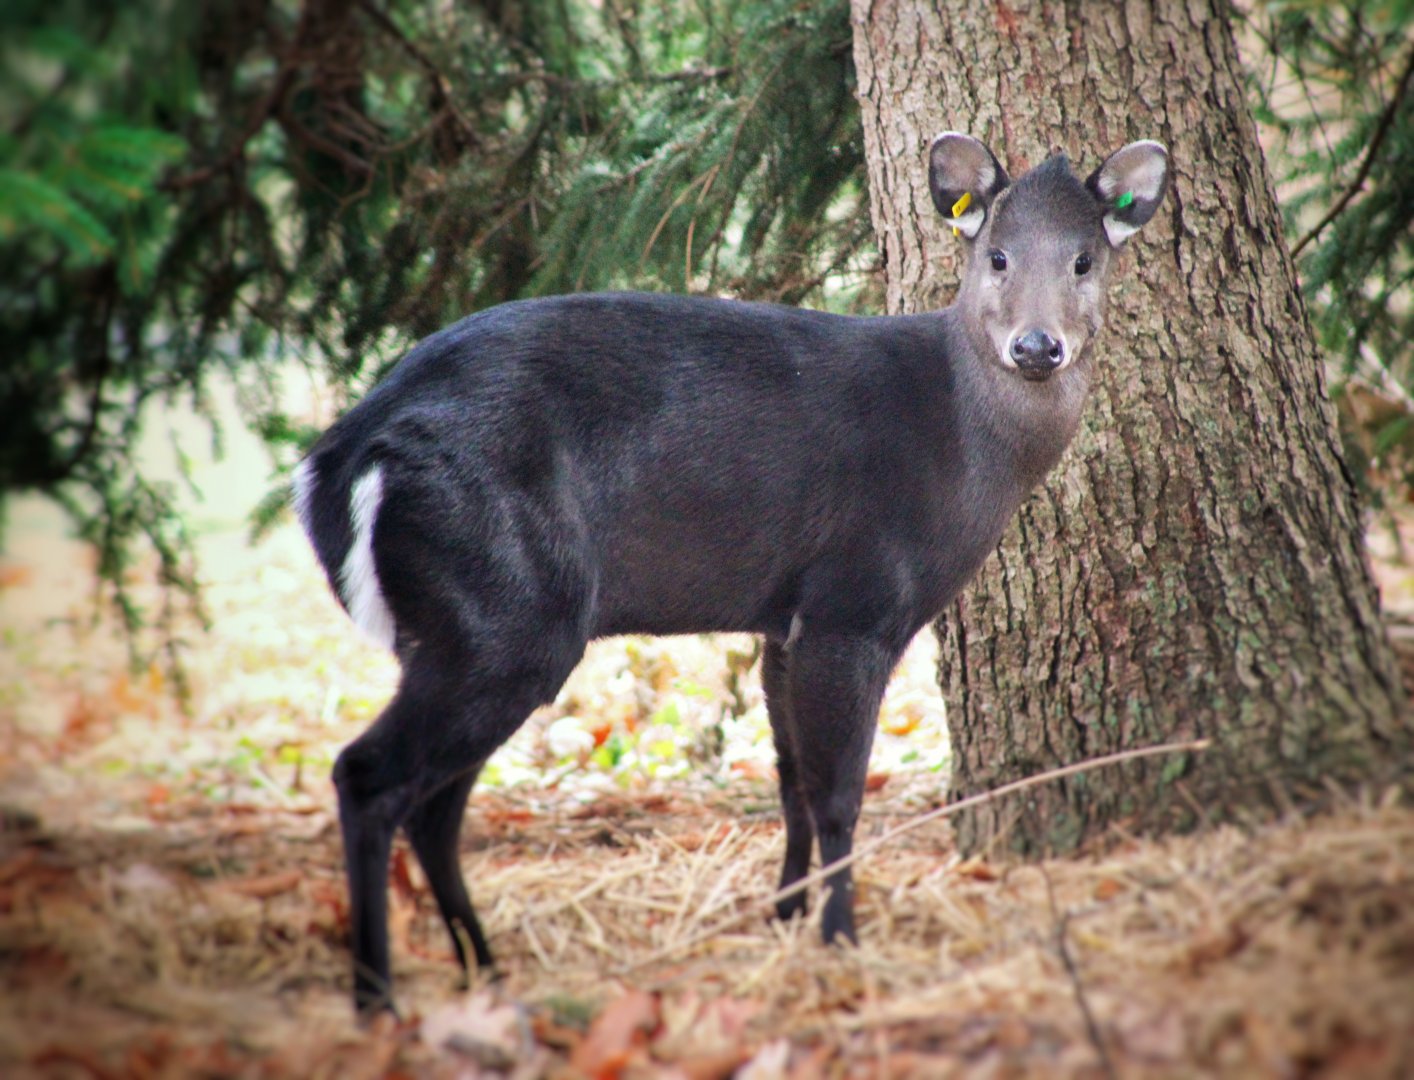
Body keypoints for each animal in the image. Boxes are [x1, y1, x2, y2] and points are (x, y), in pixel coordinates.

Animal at [291, 132, 1170, 1016]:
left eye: (1084, 259)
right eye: (996, 255)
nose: (1036, 346)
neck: (964, 439)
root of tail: (336, 463)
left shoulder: (783, 619)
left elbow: (789, 780)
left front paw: (783, 914)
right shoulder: (854, 602)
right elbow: (838, 792)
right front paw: (839, 938)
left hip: (469, 628)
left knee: (435, 806)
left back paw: (484, 966)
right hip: (504, 607)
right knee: (369, 775)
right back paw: (378, 997)